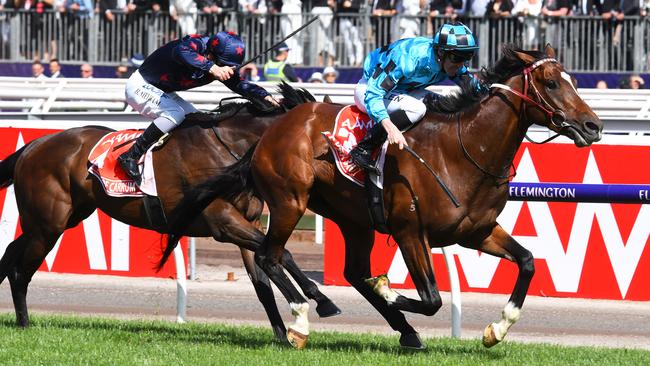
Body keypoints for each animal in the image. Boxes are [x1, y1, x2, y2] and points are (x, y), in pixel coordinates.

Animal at [162, 45, 604, 348]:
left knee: (351, 271)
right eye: (551, 83)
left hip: (352, 219)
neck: (463, 150)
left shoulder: (476, 231)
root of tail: (274, 128)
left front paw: (497, 327)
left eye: (573, 82)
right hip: (290, 201)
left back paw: (403, 331)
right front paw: (389, 288)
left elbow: (528, 261)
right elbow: (431, 298)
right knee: (272, 256)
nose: (594, 126)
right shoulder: (410, 230)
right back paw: (302, 320)